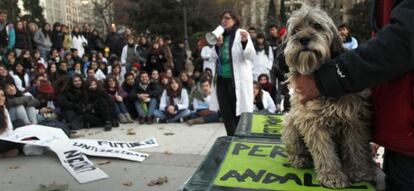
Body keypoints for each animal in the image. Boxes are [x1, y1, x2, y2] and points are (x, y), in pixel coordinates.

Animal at [282, 4, 376, 188]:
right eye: (296, 29)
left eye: (317, 26)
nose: (303, 39)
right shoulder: (313, 122)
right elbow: (324, 152)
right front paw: (332, 175)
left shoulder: (354, 120)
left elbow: (356, 147)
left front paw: (359, 170)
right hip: (290, 122)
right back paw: (299, 159)